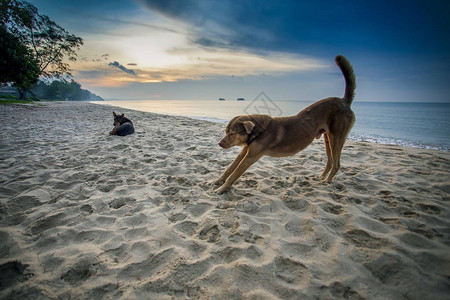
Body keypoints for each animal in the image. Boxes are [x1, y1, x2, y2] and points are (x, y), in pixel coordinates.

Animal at [214, 54, 356, 193]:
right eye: (226, 132)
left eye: (232, 133)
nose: (219, 143)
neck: (258, 131)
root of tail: (344, 101)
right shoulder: (245, 151)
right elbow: (230, 168)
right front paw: (217, 181)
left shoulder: (250, 157)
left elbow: (234, 174)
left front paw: (222, 189)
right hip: (327, 138)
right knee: (330, 161)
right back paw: (322, 176)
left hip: (336, 138)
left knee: (336, 164)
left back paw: (327, 180)